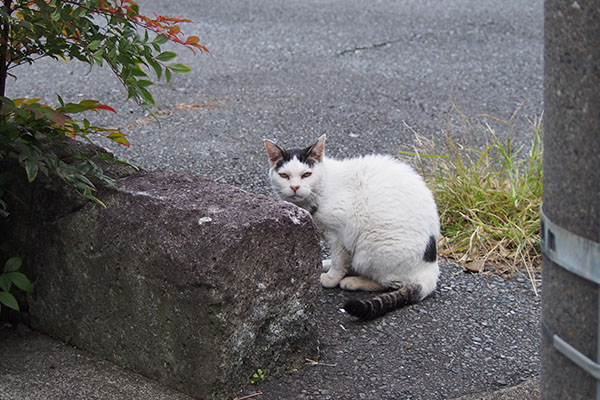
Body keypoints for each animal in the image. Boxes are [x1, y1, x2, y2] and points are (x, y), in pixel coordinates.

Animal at [264, 136, 440, 320]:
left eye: (306, 174)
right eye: (284, 175)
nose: (295, 187)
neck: (322, 188)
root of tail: (430, 269)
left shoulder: (339, 236)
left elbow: (338, 261)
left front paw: (331, 278)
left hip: (371, 248)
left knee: (391, 283)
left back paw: (353, 281)